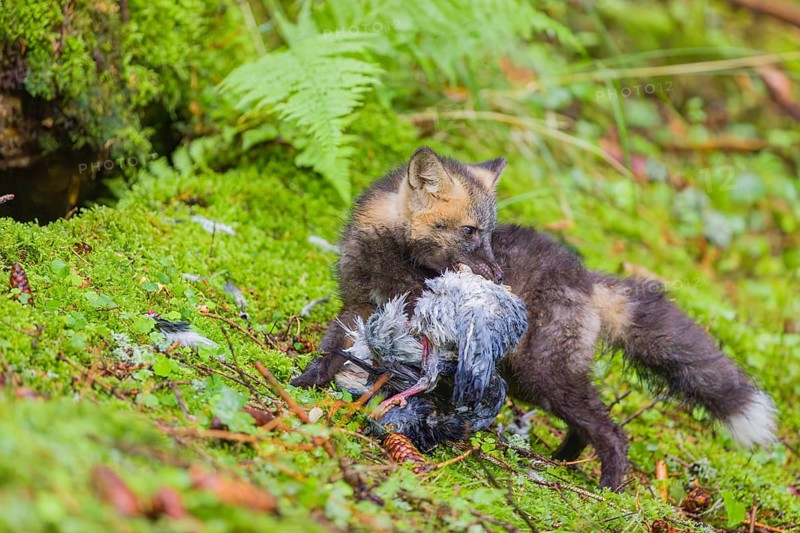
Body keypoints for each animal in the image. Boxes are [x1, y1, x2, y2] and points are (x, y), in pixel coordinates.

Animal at [292, 146, 778, 490]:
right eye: (470, 232)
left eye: (489, 234)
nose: (498, 276)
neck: (393, 261)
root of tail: (586, 278)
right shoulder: (355, 307)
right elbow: (331, 351)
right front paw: (303, 384)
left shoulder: (420, 333)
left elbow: (397, 374)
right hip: (535, 380)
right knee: (586, 425)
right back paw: (561, 462)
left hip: (541, 374)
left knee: (612, 430)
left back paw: (609, 488)